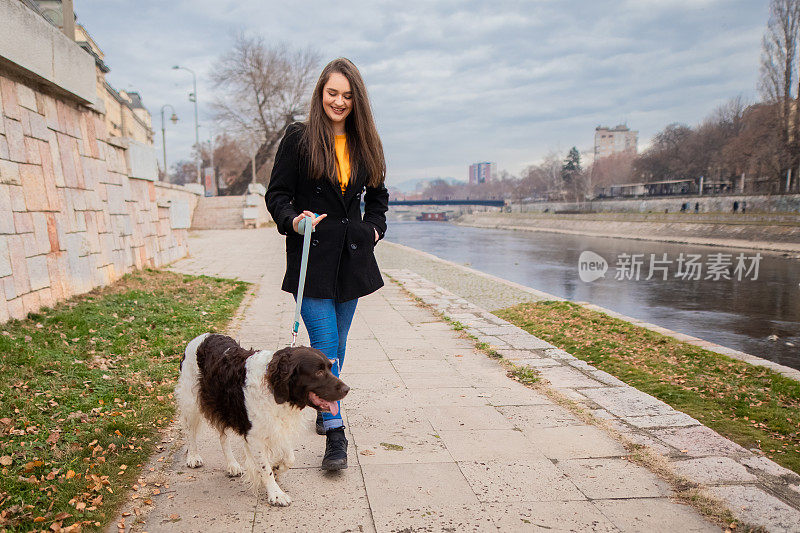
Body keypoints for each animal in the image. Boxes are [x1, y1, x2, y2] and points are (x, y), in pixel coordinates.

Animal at [175, 334, 350, 504]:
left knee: (223, 437)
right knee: (190, 432)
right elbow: (265, 469)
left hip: (223, 406)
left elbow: (289, 458)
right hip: (191, 401)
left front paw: (277, 468)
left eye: (330, 367)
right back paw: (193, 457)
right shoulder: (255, 436)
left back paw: (232, 464)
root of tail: (201, 337)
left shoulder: (279, 426)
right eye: (318, 372)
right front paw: (276, 494)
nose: (347, 389)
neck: (273, 386)